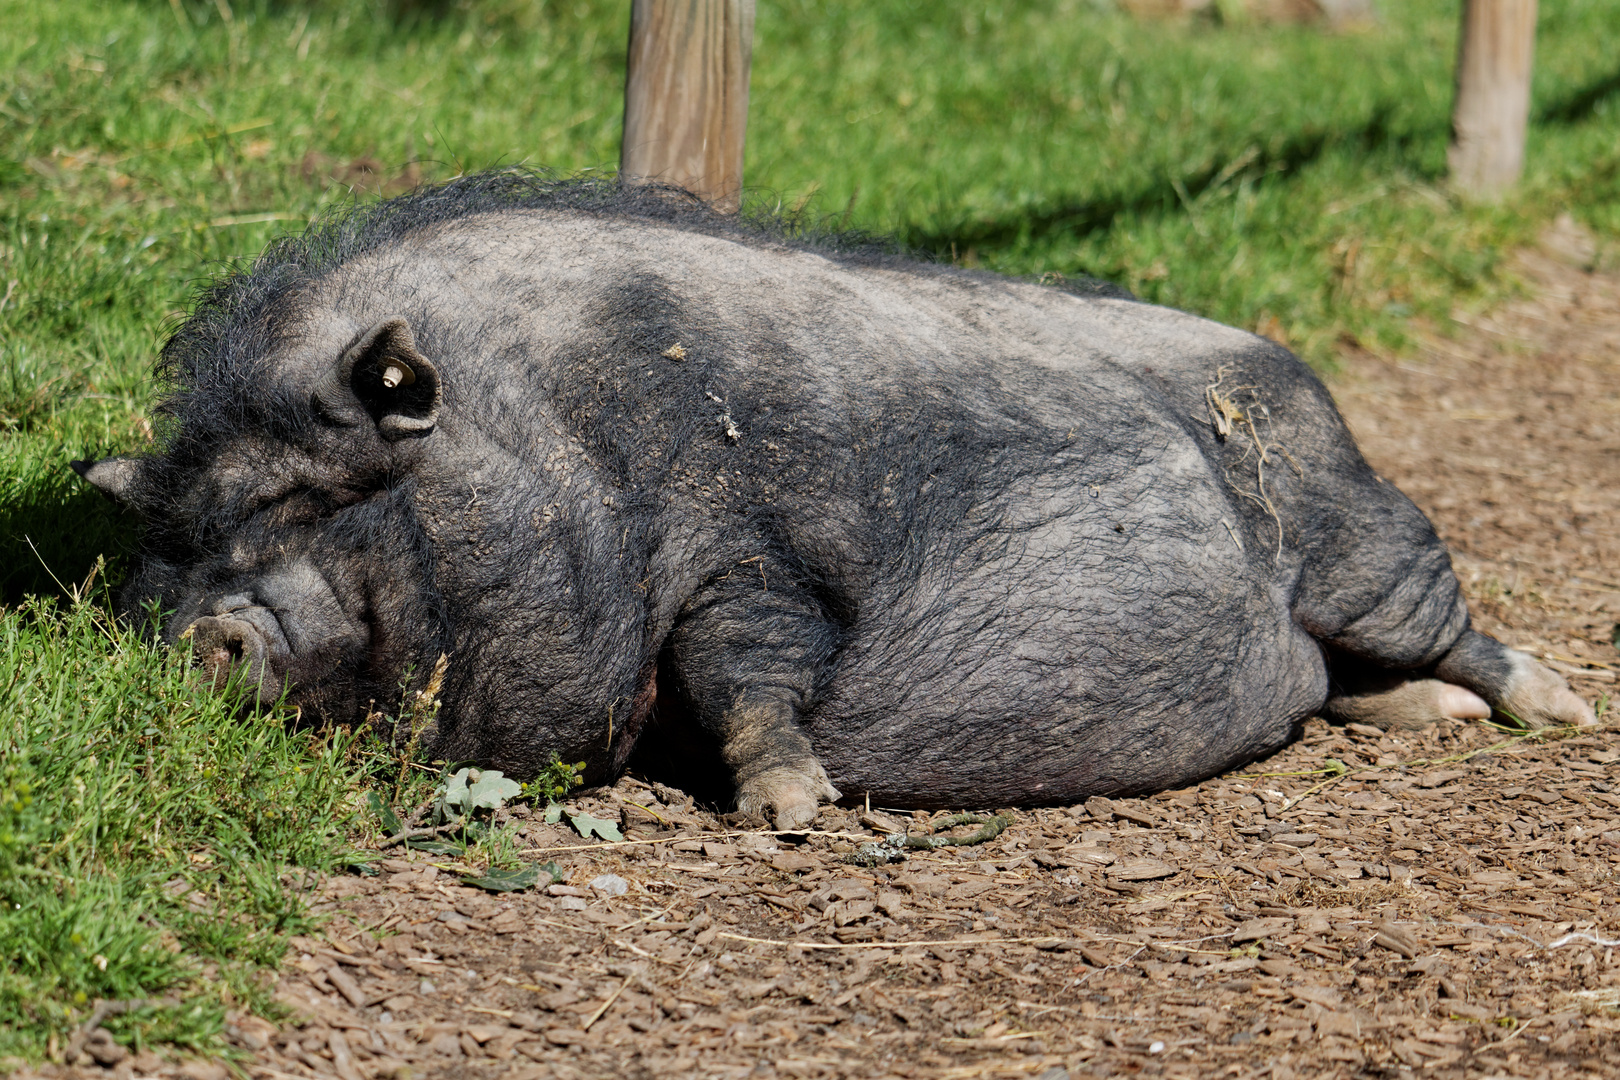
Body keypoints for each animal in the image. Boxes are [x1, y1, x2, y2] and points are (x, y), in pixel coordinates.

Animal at [72, 170, 1581, 829]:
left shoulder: (764, 552)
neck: (567, 435)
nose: (200, 634)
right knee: (1344, 685)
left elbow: (742, 661)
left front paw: (794, 815)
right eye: (173, 543)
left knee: (1444, 626)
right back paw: (1432, 719)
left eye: (317, 495)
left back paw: (1552, 709)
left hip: (1361, 535)